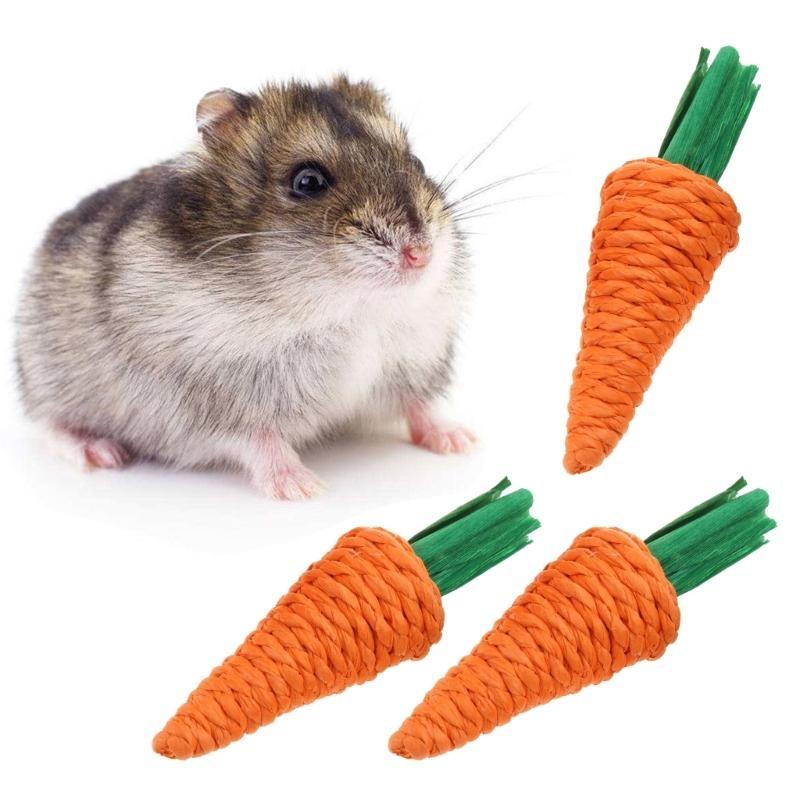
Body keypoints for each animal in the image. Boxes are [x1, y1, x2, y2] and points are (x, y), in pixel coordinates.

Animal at [15, 76, 475, 500]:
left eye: (416, 161)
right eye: (308, 181)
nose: (421, 253)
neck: (349, 311)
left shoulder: (412, 361)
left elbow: (420, 404)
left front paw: (462, 442)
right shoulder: (214, 400)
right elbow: (259, 439)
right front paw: (303, 488)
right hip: (46, 375)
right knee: (47, 422)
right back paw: (98, 452)